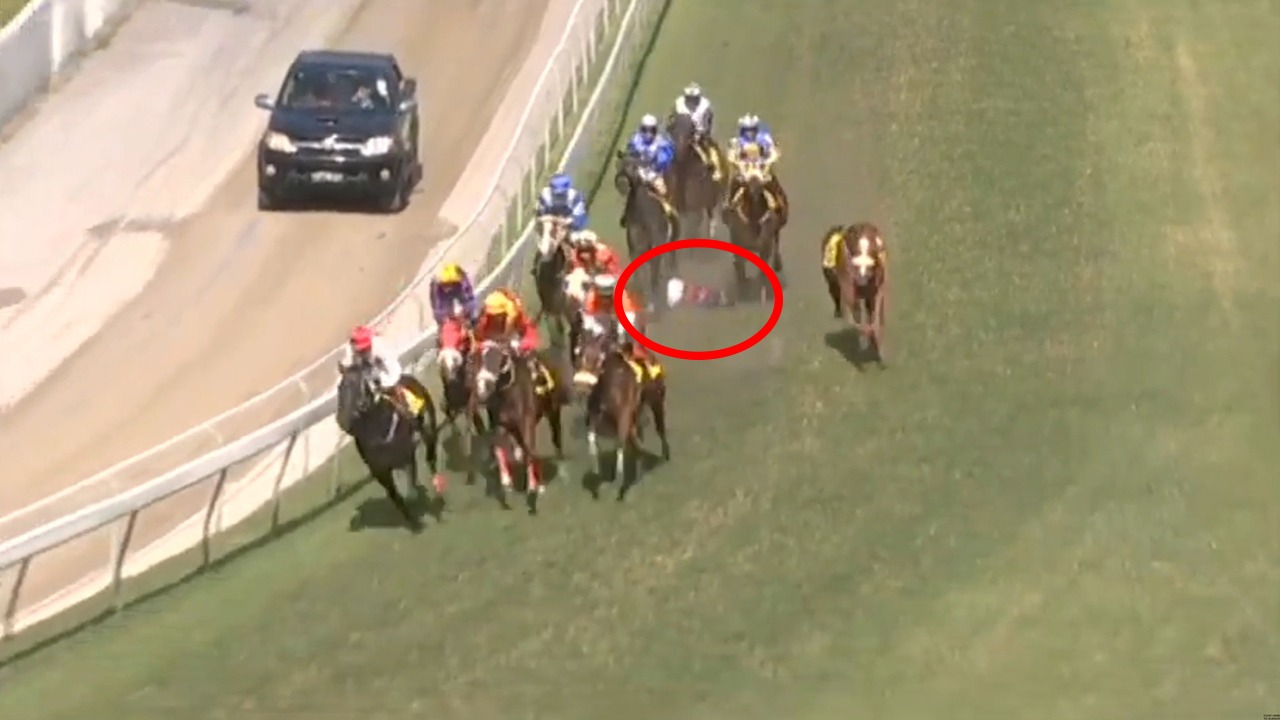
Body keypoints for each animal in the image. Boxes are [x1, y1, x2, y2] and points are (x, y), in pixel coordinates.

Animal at [336, 365, 444, 531]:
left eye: (361, 385)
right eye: (340, 387)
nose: (342, 420)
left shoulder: (405, 455)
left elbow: (411, 487)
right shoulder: (379, 470)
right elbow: (395, 496)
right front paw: (413, 521)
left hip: (428, 426)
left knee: (430, 456)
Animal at [573, 324, 669, 498]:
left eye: (598, 358)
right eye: (578, 354)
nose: (581, 388)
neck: (608, 384)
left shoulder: (623, 415)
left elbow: (619, 442)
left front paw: (619, 479)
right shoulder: (596, 416)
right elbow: (591, 438)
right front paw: (597, 470)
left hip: (656, 400)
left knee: (660, 427)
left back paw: (664, 455)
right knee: (635, 438)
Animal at [722, 160, 789, 302]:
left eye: (761, 186)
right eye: (746, 185)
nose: (754, 196)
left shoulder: (766, 244)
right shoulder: (737, 241)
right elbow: (740, 267)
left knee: (777, 242)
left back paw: (777, 264)